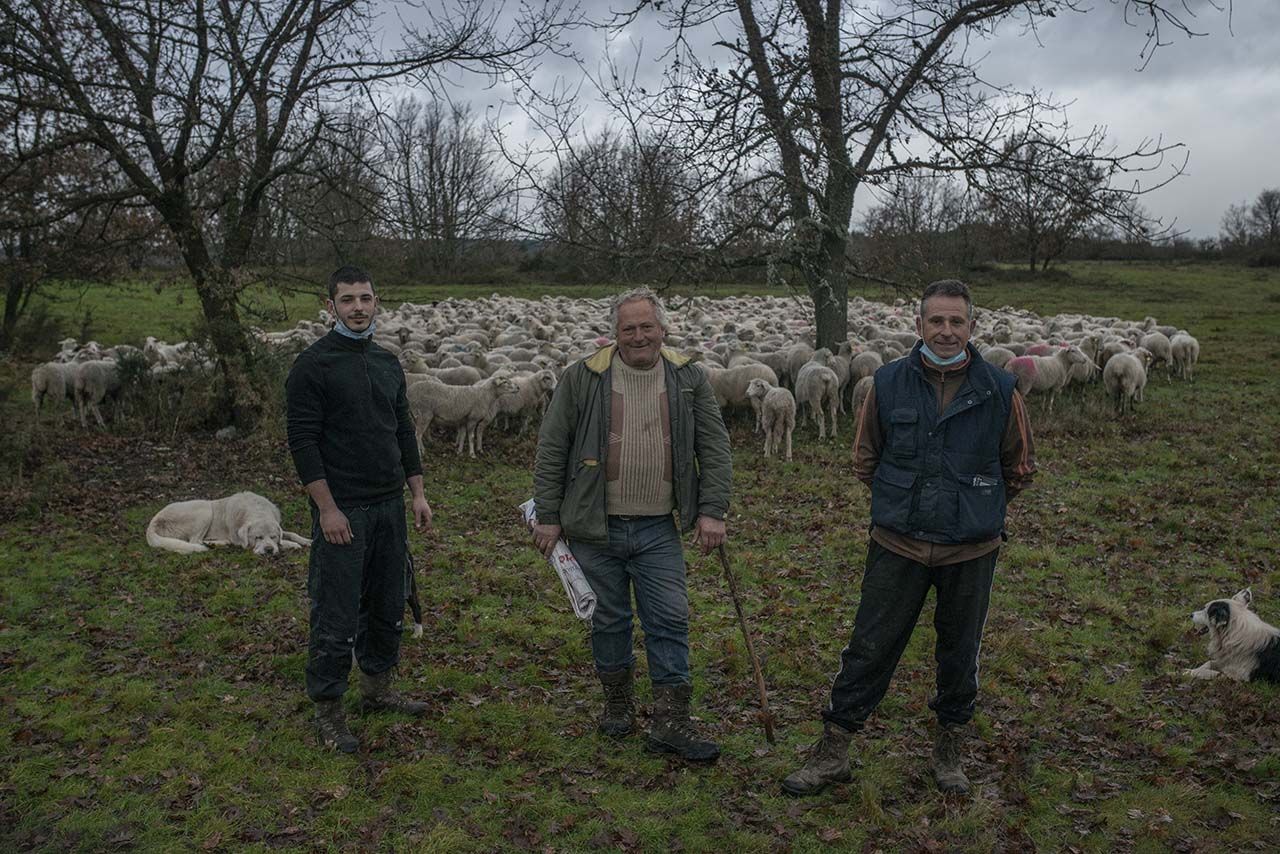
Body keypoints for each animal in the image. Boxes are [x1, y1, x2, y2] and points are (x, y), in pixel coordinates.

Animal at [145, 491, 312, 558]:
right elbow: (284, 541)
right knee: (195, 541)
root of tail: (153, 523)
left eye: (273, 536)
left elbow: (291, 533)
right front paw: (291, 545)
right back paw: (218, 543)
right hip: (205, 509)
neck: (257, 510)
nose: (269, 550)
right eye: (257, 537)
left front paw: (307, 541)